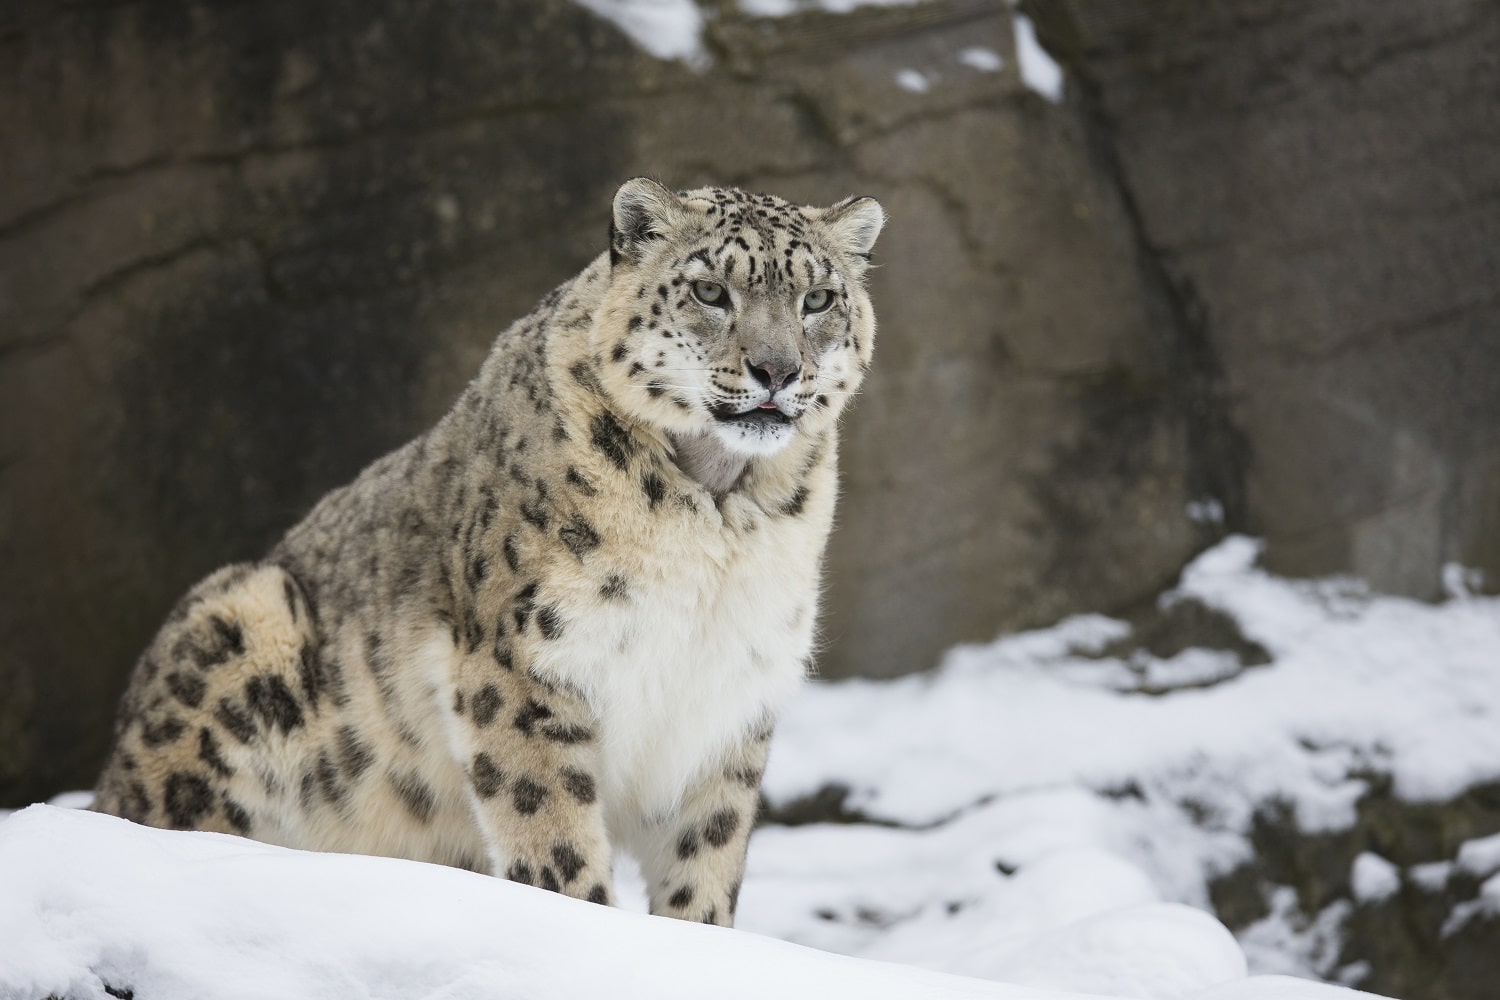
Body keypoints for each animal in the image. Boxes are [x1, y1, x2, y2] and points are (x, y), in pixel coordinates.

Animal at [93, 176, 882, 929]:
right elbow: (555, 838)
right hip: (239, 621)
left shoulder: (728, 704)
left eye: (817, 299)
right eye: (711, 290)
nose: (778, 371)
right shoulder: (525, 668)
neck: (721, 513)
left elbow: (706, 866)